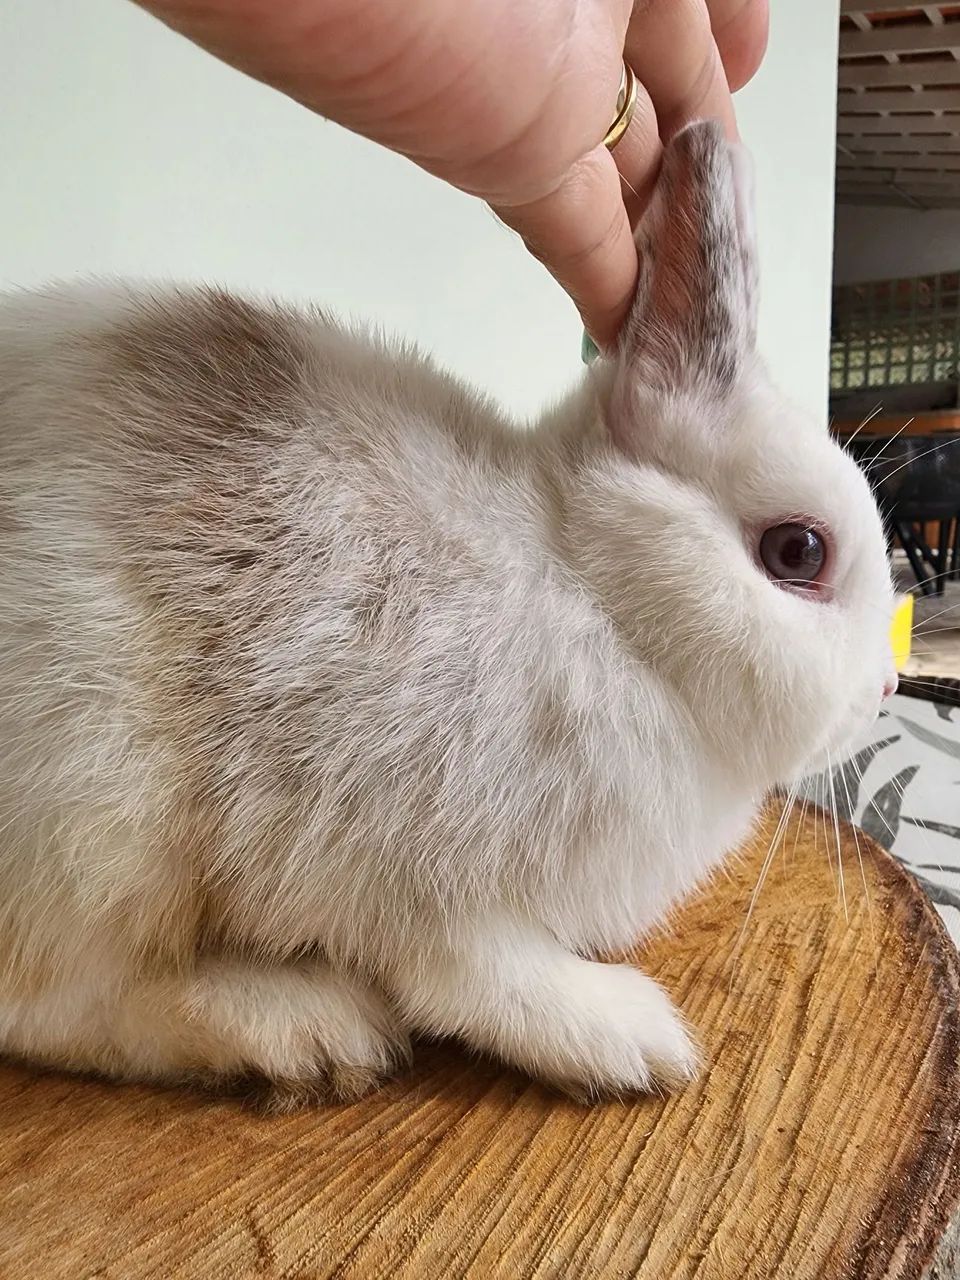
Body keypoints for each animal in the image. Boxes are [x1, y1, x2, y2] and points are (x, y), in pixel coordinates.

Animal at [0, 122, 895, 1110]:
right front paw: (628, 1040)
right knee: (57, 1005)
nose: (888, 687)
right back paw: (304, 1028)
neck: (598, 601)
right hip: (96, 813)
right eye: (798, 552)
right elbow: (475, 976)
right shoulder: (414, 869)